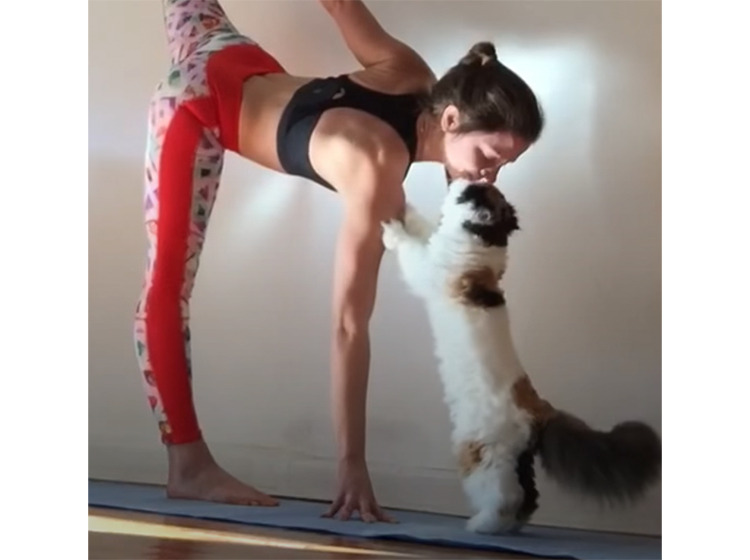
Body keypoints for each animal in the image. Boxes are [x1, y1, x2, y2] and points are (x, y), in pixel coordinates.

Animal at [381, 178, 661, 534]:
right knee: (529, 497)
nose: (462, 179)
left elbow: (409, 244)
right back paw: (510, 527)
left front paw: (392, 227)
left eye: (471, 192)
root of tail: (540, 409)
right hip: (515, 462)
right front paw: (405, 207)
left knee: (506, 497)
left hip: (480, 453)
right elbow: (421, 226)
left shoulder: (427, 268)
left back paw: (482, 525)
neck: (482, 245)